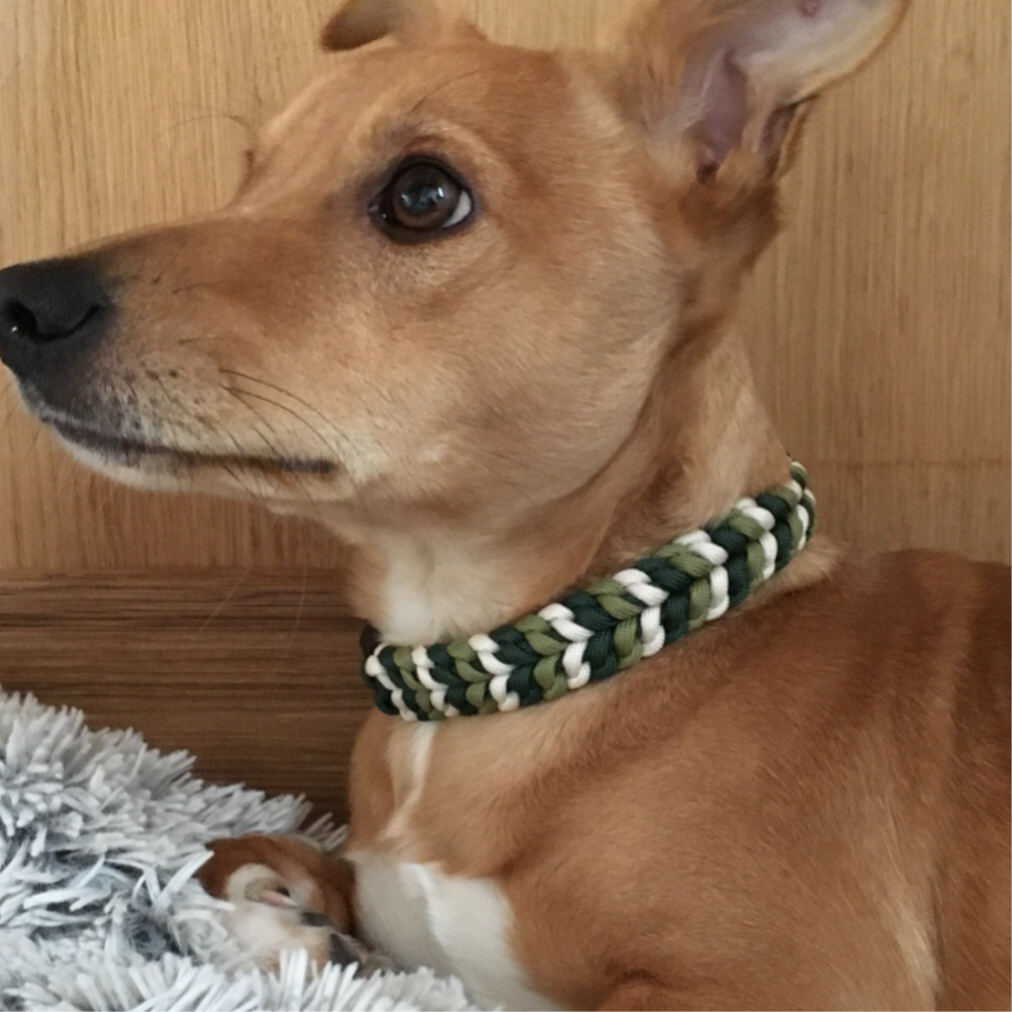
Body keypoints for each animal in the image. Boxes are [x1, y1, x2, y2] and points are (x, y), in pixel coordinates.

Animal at [3, 0, 1011, 1008]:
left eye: (422, 196)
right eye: (251, 173)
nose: (23, 301)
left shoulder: (788, 985)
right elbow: (250, 856)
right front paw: (286, 915)